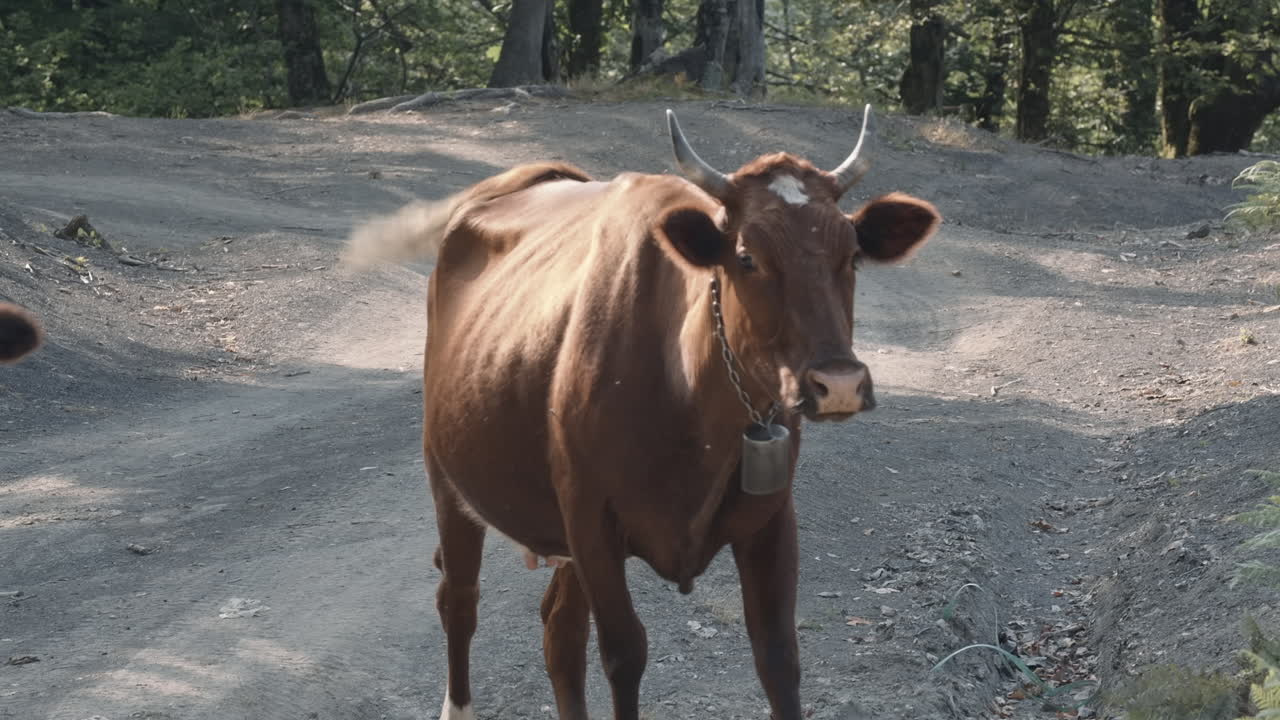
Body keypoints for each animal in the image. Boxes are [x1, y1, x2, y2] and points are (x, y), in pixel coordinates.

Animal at [346, 107, 940, 720]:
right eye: (747, 256)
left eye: (851, 255)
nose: (838, 383)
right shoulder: (591, 519)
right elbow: (624, 653)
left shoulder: (772, 517)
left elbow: (779, 656)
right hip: (448, 476)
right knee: (460, 600)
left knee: (559, 630)